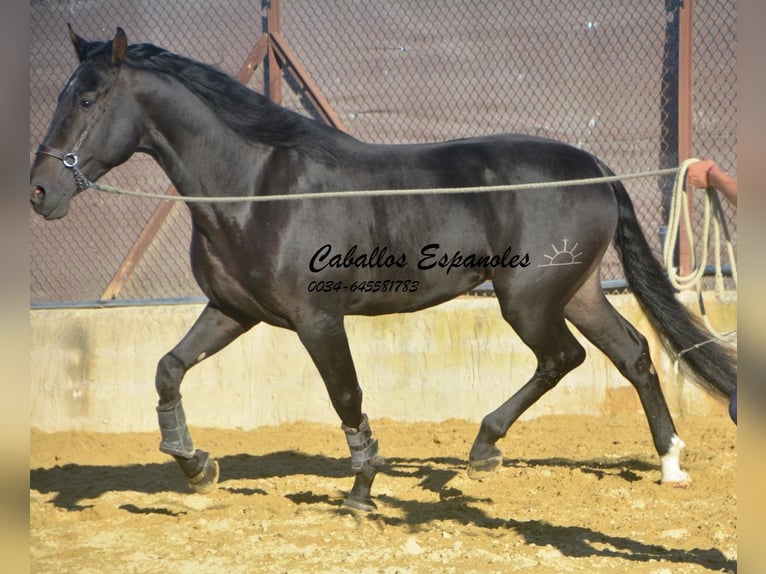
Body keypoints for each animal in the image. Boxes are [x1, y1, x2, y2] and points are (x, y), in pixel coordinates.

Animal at [31, 28, 736, 512]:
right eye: (62, 95)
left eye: (88, 98)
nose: (40, 191)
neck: (256, 190)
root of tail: (594, 167)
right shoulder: (232, 311)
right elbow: (168, 369)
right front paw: (196, 465)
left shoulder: (317, 318)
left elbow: (347, 395)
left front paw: (362, 490)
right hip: (576, 291)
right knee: (634, 352)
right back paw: (670, 464)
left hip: (530, 299)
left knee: (564, 359)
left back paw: (484, 450)